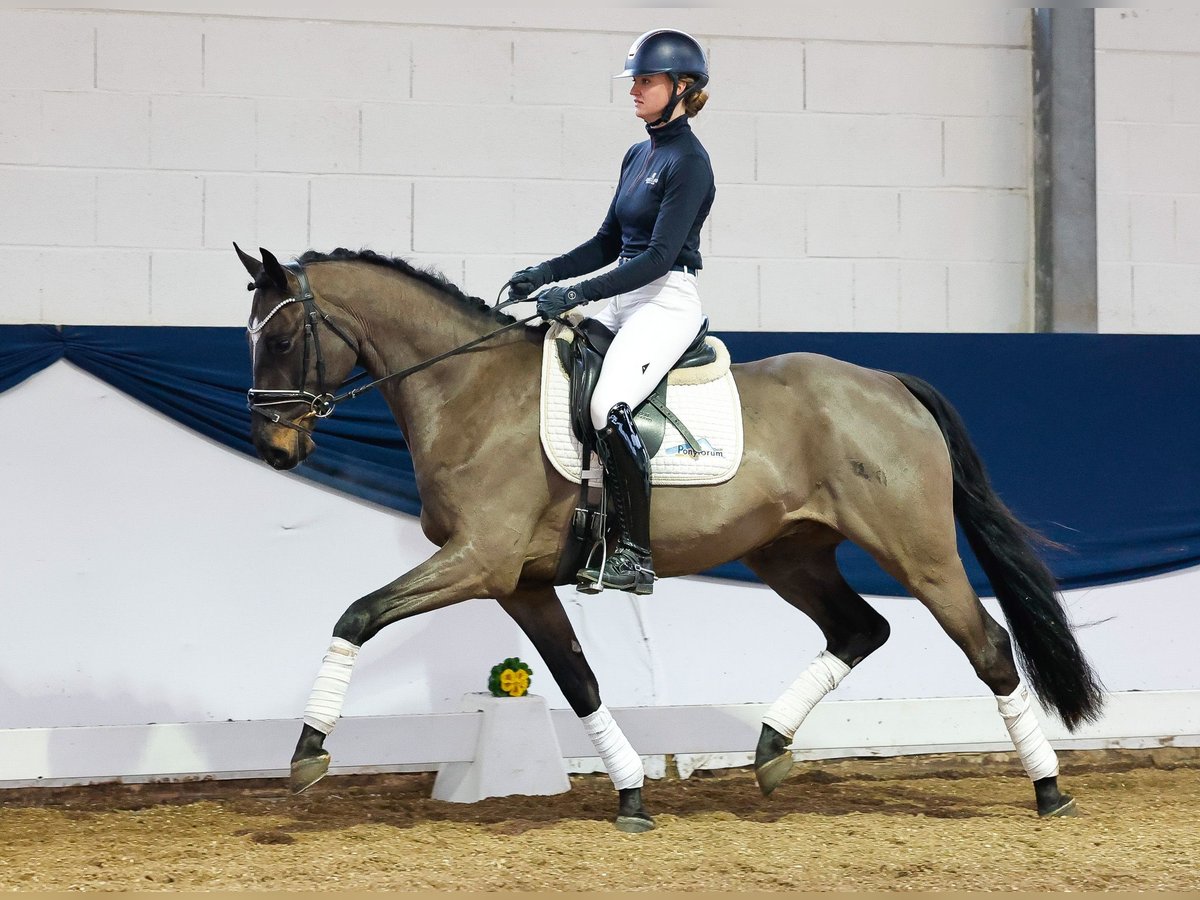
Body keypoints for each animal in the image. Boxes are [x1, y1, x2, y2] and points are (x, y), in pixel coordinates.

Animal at [236, 243, 1104, 835]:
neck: (466, 390)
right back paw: (770, 749)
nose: (274, 451)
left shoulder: (478, 562)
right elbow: (579, 681)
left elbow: (357, 614)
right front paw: (630, 794)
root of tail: (890, 384)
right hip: (788, 554)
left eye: (278, 341)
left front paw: (307, 754)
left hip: (917, 553)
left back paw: (1050, 791)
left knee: (987, 647)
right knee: (861, 628)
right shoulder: (520, 582)